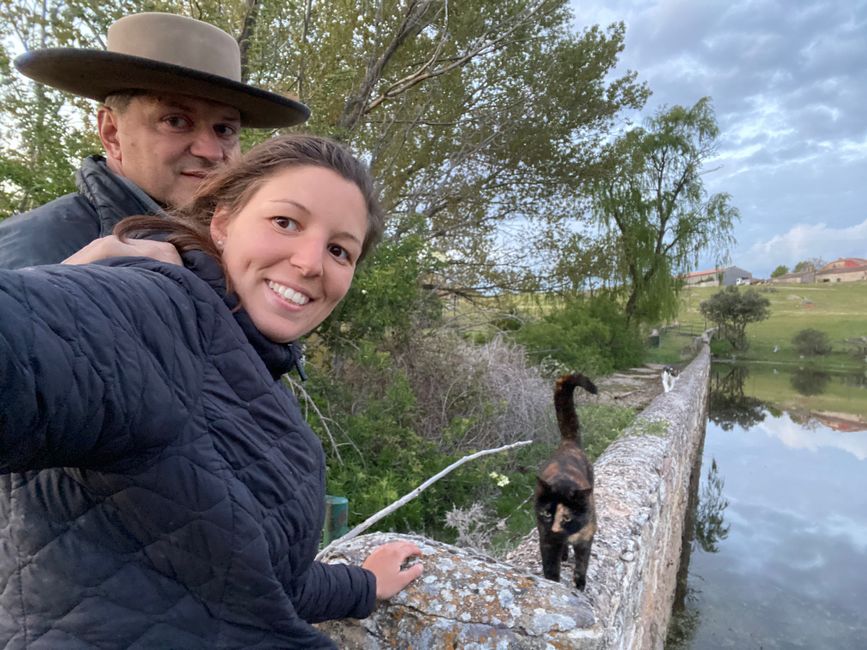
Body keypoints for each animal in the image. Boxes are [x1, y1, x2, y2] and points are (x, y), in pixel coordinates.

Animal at [536, 370, 596, 588]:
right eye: (547, 513)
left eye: (567, 517)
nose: (554, 530)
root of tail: (568, 443)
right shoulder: (546, 540)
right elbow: (551, 568)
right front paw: (553, 583)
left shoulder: (586, 538)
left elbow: (582, 563)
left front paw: (580, 585)